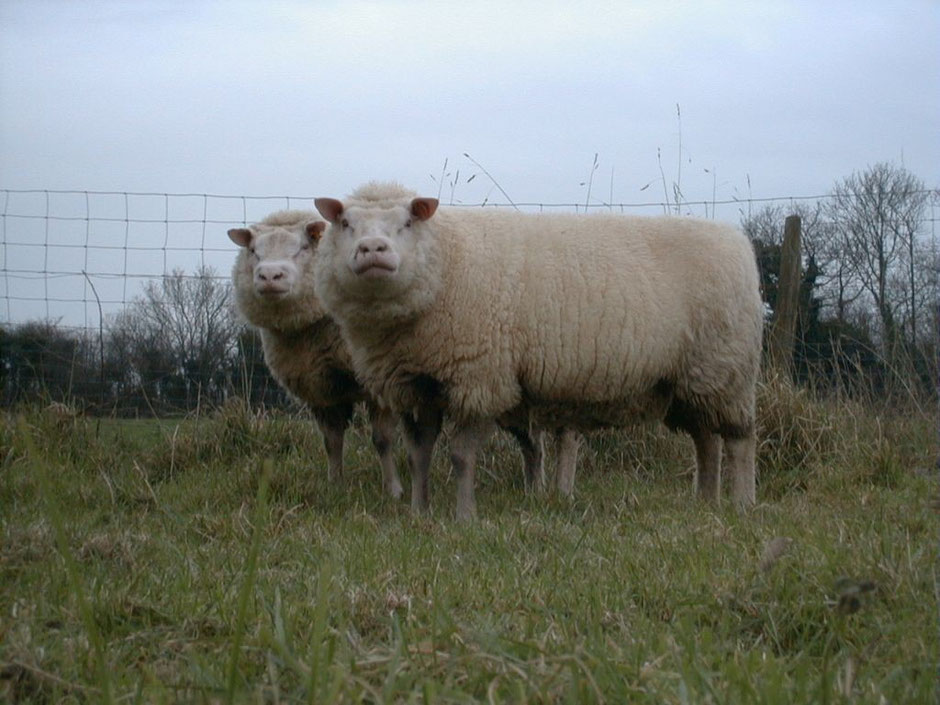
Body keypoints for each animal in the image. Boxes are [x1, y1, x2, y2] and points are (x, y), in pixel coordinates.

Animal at [228, 210, 403, 498]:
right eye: (254, 251)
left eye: (302, 248)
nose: (270, 275)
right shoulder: (320, 389)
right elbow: (331, 441)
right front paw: (335, 485)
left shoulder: (381, 381)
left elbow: (383, 440)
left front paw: (393, 490)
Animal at [313, 182, 763, 520]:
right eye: (346, 223)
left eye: (407, 222)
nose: (373, 249)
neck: (447, 263)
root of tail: (737, 240)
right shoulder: (416, 386)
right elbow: (418, 454)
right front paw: (418, 513)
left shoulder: (481, 378)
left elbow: (461, 457)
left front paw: (464, 518)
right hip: (692, 380)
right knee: (705, 438)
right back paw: (705, 502)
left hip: (725, 367)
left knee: (739, 439)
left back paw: (741, 504)